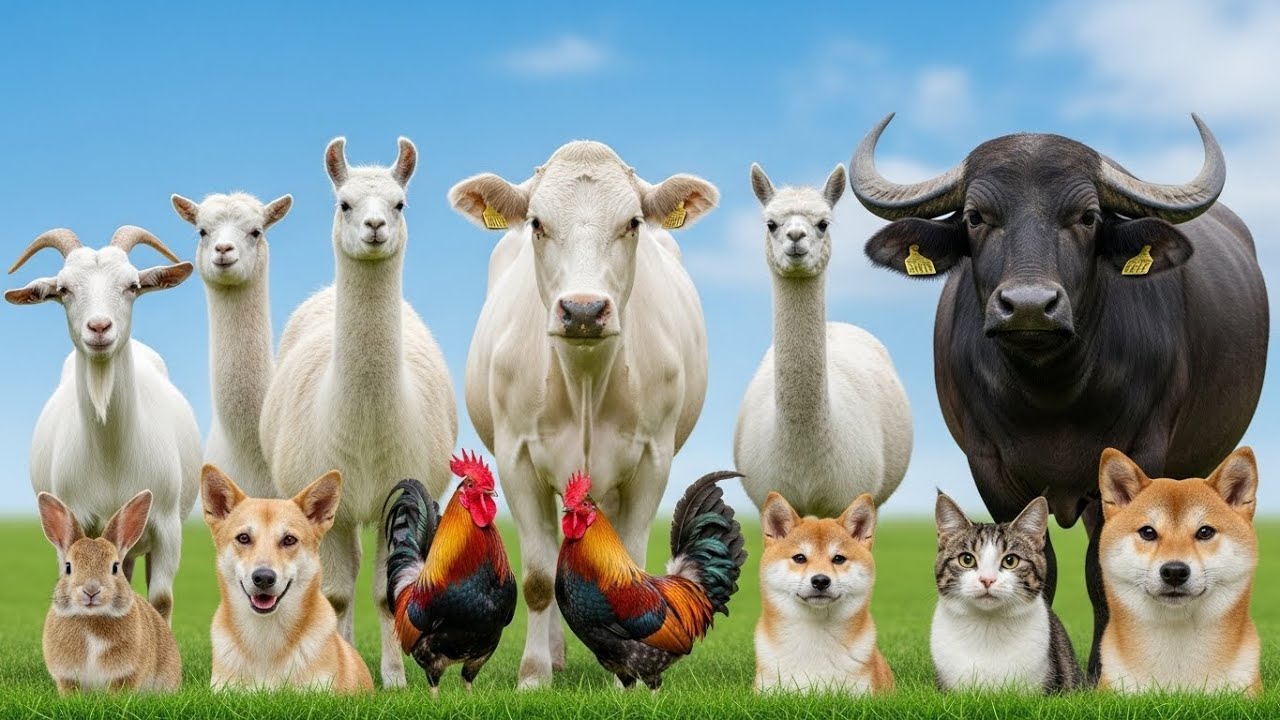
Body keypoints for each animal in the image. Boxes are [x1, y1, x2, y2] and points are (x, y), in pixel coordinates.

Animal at [448, 141, 716, 688]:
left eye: (633, 222)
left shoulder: (653, 458)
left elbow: (629, 572)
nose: (585, 310)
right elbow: (538, 577)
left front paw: (626, 679)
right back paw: (554, 654)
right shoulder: (516, 458)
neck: (586, 380)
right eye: (536, 223)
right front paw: (533, 676)